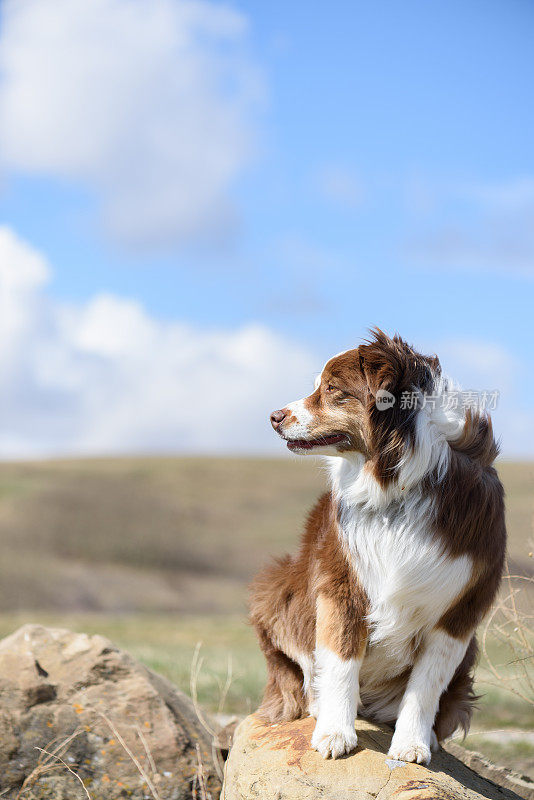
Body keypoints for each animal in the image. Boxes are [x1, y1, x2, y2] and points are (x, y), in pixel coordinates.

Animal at [251, 330, 506, 764]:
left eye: (332, 389)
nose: (274, 416)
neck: (396, 482)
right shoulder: (341, 582)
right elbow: (340, 661)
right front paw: (334, 733)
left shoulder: (461, 609)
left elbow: (425, 685)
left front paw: (412, 744)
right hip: (275, 585)